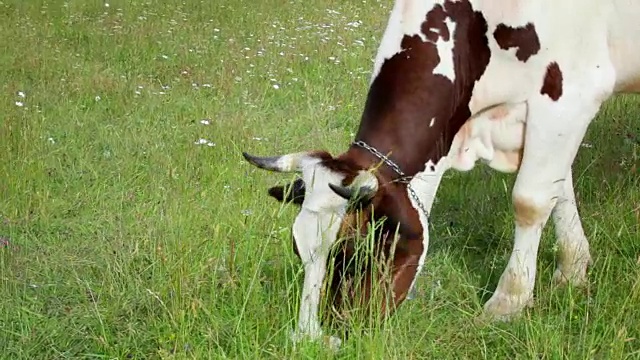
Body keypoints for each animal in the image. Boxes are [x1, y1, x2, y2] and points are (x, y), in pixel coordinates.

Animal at [241, 0, 640, 348]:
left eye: (355, 252)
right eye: (298, 249)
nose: (312, 340)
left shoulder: (569, 96)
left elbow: (530, 200)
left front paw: (507, 304)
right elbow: (560, 190)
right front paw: (572, 271)